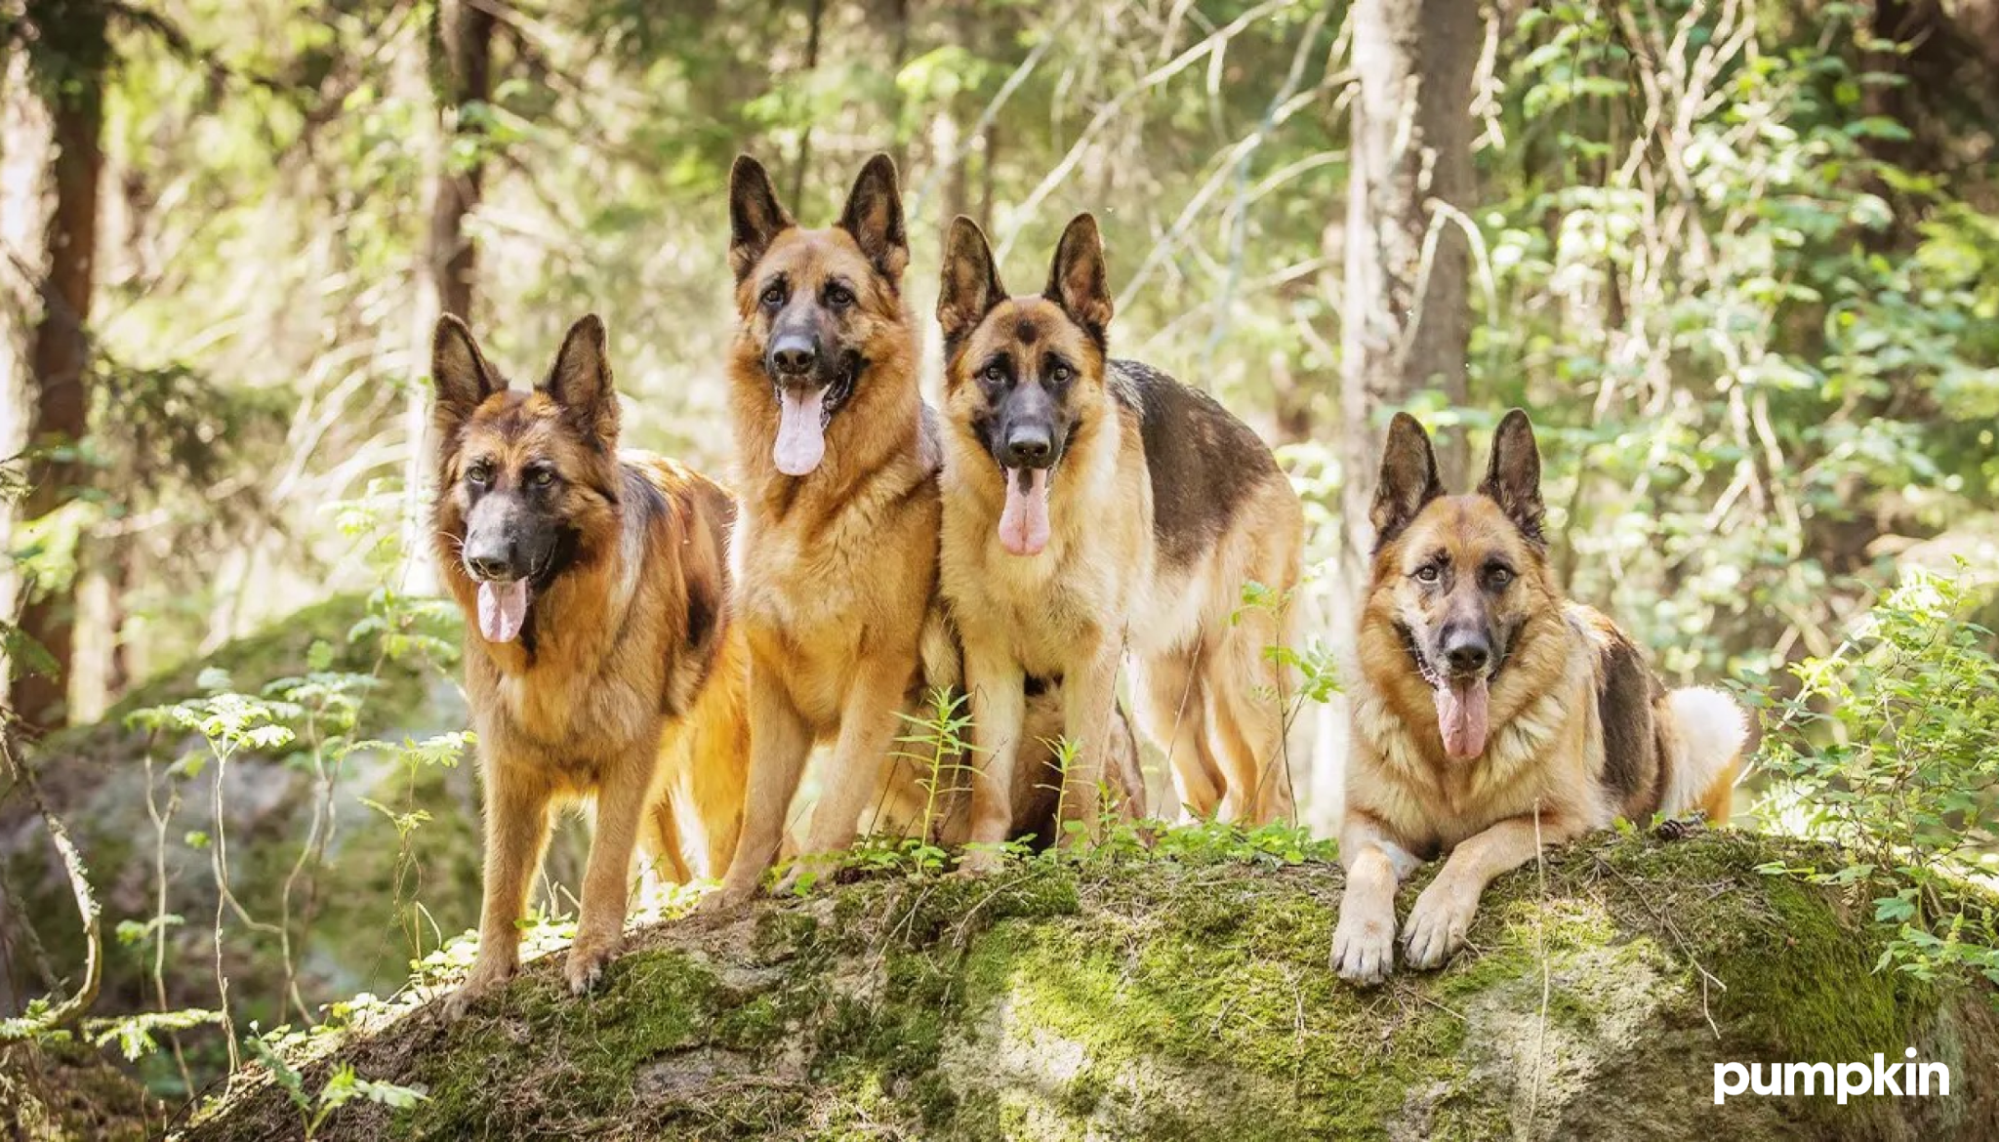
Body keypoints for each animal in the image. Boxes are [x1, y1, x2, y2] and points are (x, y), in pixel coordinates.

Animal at [429, 315, 751, 1007]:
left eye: (542, 478)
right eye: (478, 475)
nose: (486, 561)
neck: (551, 645)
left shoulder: (628, 756)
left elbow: (603, 865)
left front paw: (591, 951)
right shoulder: (510, 770)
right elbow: (499, 884)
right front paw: (485, 978)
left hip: (717, 767)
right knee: (669, 863)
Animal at [939, 213, 1311, 867]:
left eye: (1061, 372)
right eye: (994, 373)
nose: (1030, 448)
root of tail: (1266, 453)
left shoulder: (1092, 659)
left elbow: (1083, 772)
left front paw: (1075, 856)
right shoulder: (990, 661)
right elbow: (989, 783)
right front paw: (980, 864)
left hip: (1241, 671)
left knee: (1273, 780)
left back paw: (1269, 842)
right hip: (1158, 691)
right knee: (1214, 780)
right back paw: (1191, 843)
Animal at [1335, 411, 1743, 983]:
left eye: (1499, 573)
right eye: (1429, 572)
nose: (1467, 655)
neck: (1452, 769)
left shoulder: (1557, 820)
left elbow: (1474, 845)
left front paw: (1436, 915)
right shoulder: (1364, 823)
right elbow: (1370, 866)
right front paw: (1363, 934)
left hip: (1707, 715)